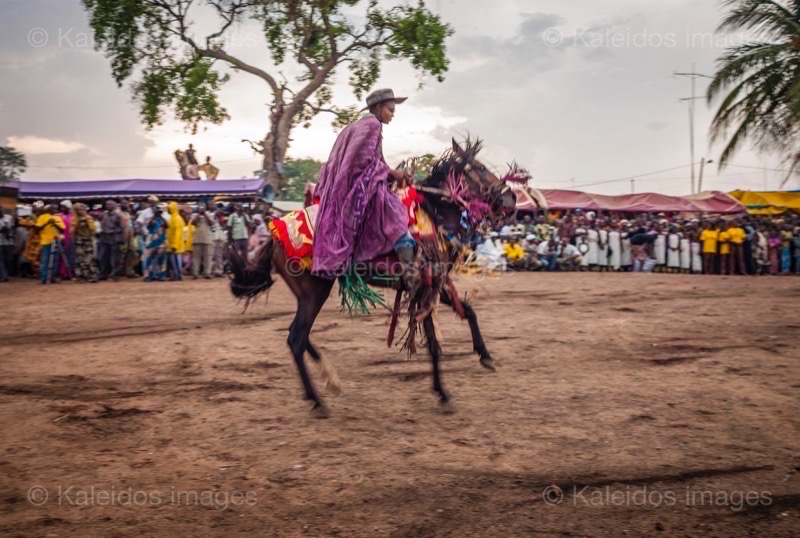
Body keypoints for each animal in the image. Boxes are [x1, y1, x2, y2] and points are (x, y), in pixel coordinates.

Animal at [230, 137, 520, 414]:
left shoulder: (434, 285)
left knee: (299, 335)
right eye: (480, 168)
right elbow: (433, 343)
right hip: (315, 292)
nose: (511, 200)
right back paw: (317, 401)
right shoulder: (425, 288)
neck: (433, 215)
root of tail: (276, 235)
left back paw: (329, 377)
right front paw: (443, 393)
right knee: (296, 339)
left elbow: (469, 311)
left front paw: (484, 355)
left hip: (308, 296)